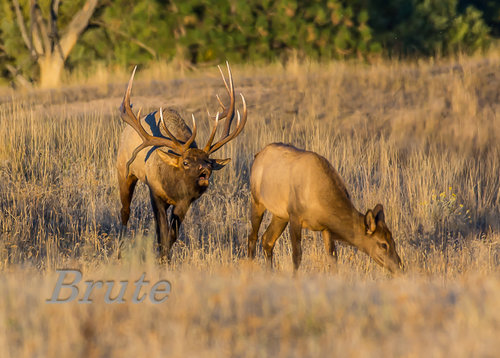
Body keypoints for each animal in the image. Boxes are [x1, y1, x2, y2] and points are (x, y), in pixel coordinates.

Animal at [119, 63, 248, 260]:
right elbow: (162, 231)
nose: (204, 171)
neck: (173, 188)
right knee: (124, 211)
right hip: (123, 171)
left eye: (209, 162)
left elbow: (172, 234)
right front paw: (162, 259)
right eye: (186, 162)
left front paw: (165, 257)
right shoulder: (155, 192)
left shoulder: (185, 202)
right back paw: (119, 249)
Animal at [248, 143, 404, 274]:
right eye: (383, 245)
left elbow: (333, 258)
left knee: (267, 240)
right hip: (257, 201)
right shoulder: (295, 216)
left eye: (393, 241)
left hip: (280, 215)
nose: (399, 266)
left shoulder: (325, 227)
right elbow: (297, 255)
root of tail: (257, 155)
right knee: (253, 237)